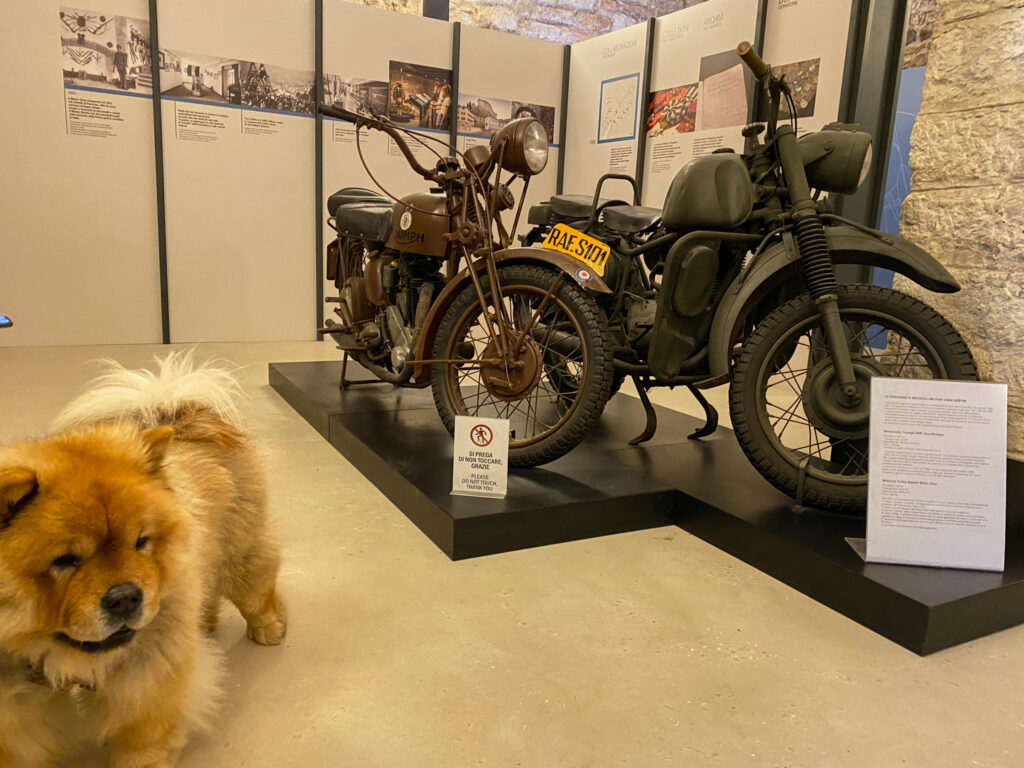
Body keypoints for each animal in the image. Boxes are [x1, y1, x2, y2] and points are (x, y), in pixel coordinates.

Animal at [0, 352, 286, 765]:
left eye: (141, 542)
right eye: (66, 560)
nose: (124, 597)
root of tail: (178, 411)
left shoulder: (148, 675)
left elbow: (143, 735)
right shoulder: (12, 705)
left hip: (240, 550)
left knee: (257, 584)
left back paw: (268, 627)